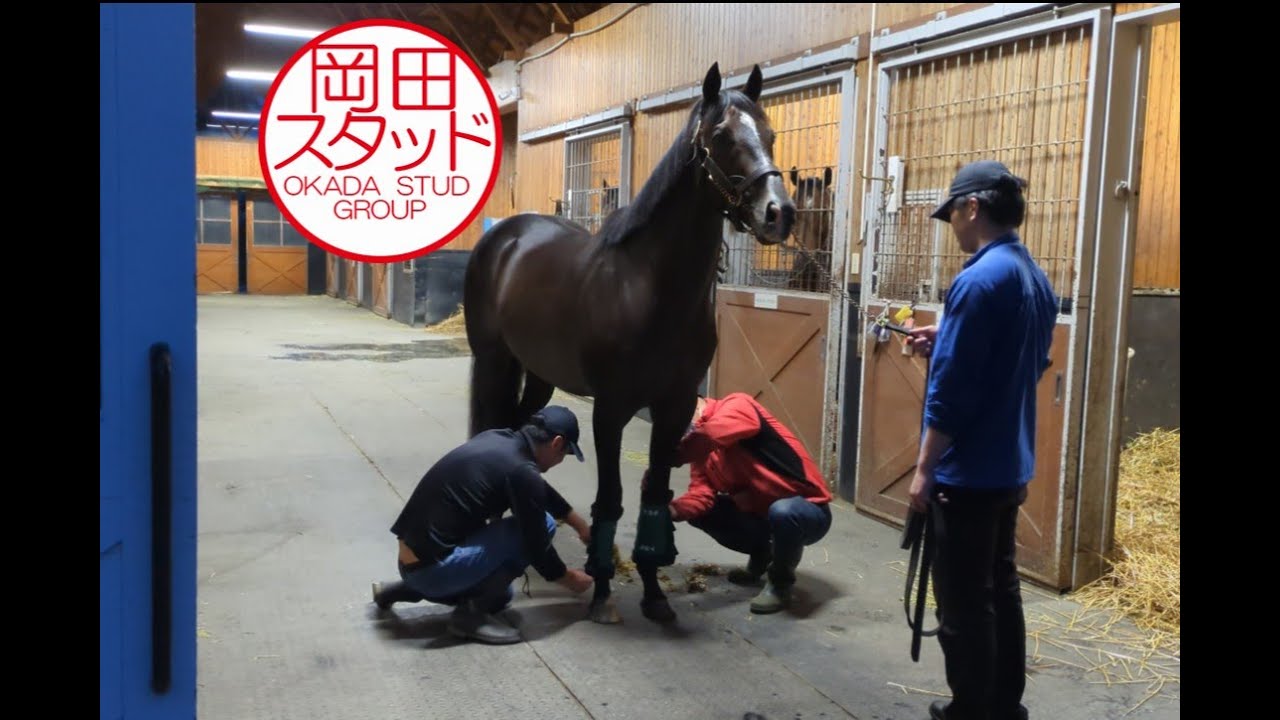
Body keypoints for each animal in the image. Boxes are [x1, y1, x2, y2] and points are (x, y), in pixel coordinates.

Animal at [463, 61, 796, 624]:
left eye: (771, 134)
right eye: (722, 137)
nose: (779, 213)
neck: (649, 287)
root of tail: (505, 235)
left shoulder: (674, 405)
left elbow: (655, 493)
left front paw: (654, 594)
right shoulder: (611, 409)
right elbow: (611, 499)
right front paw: (601, 594)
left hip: (540, 374)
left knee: (518, 426)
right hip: (492, 359)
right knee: (490, 426)